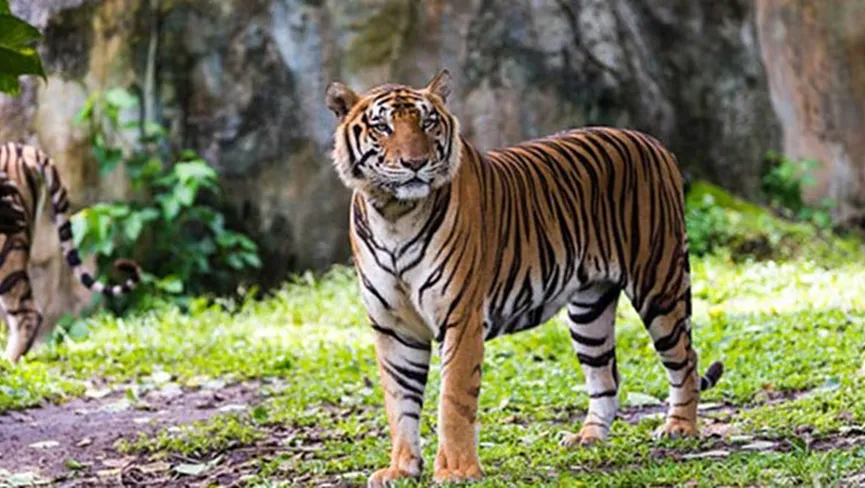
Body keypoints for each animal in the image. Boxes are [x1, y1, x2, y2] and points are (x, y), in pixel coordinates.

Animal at [325, 70, 724, 486]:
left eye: (428, 122)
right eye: (382, 127)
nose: (416, 163)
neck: (393, 215)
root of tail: (653, 142)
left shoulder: (461, 318)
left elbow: (453, 398)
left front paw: (456, 471)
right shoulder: (393, 327)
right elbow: (399, 401)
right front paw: (402, 468)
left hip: (659, 283)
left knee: (686, 359)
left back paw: (680, 427)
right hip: (590, 311)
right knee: (606, 376)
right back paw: (589, 437)